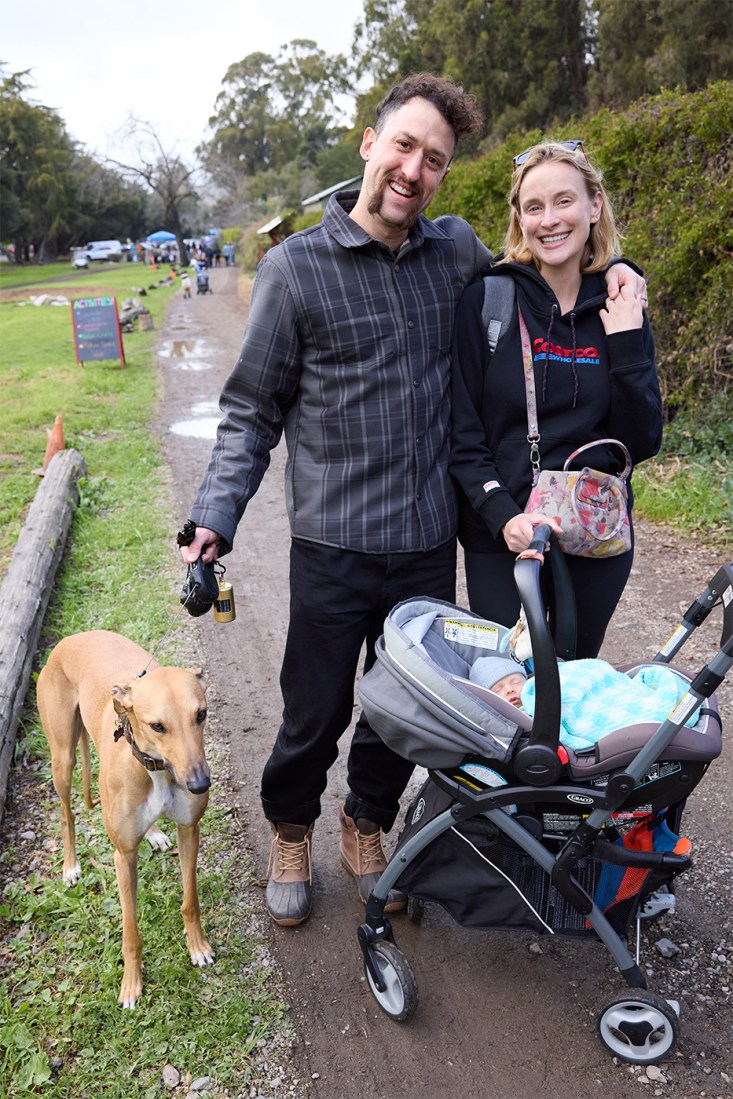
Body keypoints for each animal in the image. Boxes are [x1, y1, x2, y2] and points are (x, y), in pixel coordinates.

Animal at [37, 633, 215, 1006]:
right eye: (157, 725)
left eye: (201, 714)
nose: (199, 784)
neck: (156, 767)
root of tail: (70, 640)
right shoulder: (124, 857)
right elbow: (131, 931)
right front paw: (131, 985)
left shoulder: (189, 830)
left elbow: (190, 901)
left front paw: (197, 947)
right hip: (62, 758)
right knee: (66, 814)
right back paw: (70, 866)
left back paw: (155, 834)